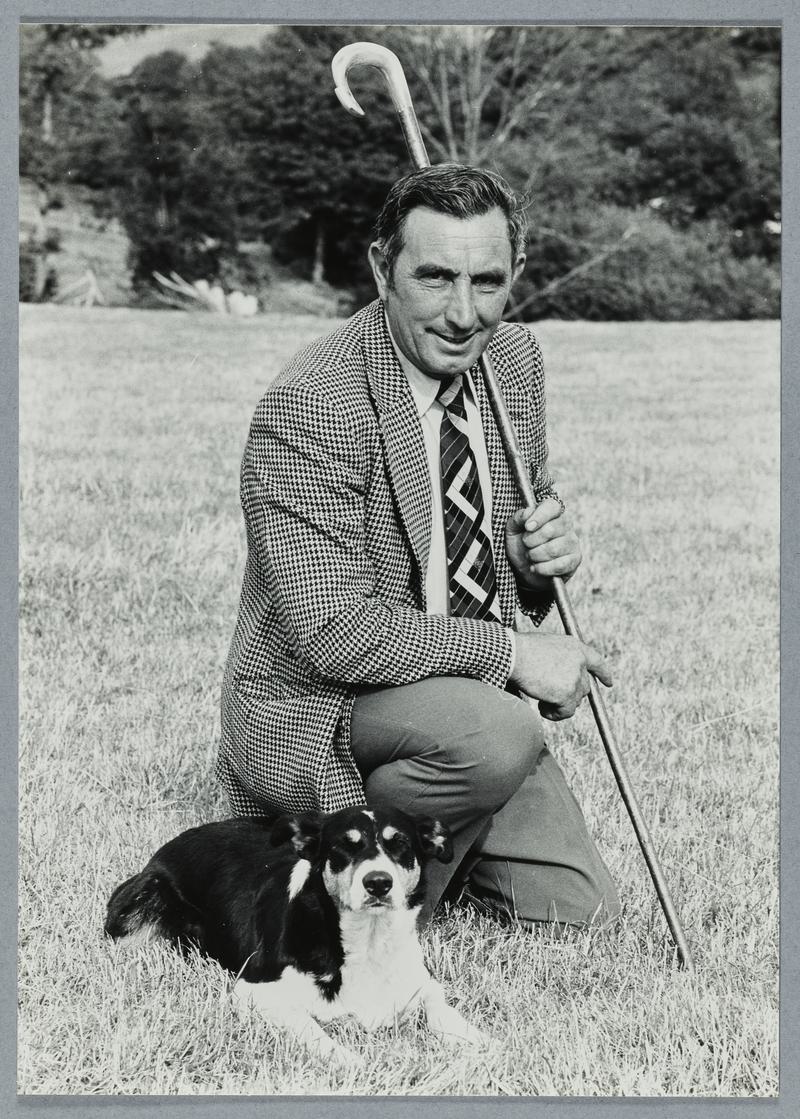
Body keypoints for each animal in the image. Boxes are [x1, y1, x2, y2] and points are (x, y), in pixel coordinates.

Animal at [105, 806, 493, 1064]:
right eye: (342, 847)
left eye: (401, 845)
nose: (378, 883)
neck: (367, 941)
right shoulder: (255, 992)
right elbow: (309, 1027)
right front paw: (349, 1061)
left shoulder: (419, 982)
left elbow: (440, 1005)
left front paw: (479, 1040)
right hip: (141, 905)